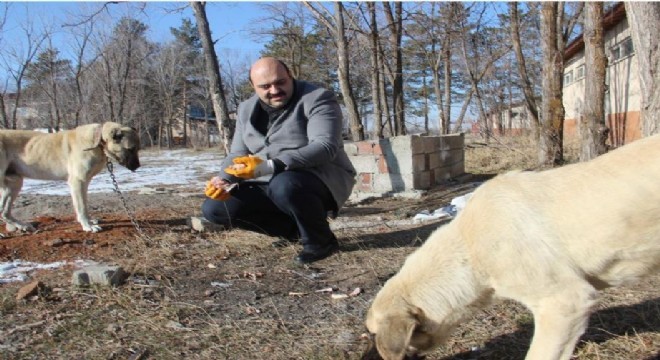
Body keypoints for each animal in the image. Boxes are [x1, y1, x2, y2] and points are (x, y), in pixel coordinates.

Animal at [0, 121, 139, 233]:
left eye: (137, 149)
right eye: (131, 149)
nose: (137, 166)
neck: (98, 142)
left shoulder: (84, 183)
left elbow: (85, 204)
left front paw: (89, 221)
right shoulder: (77, 182)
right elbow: (81, 206)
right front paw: (87, 226)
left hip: (15, 183)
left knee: (4, 212)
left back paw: (22, 226)